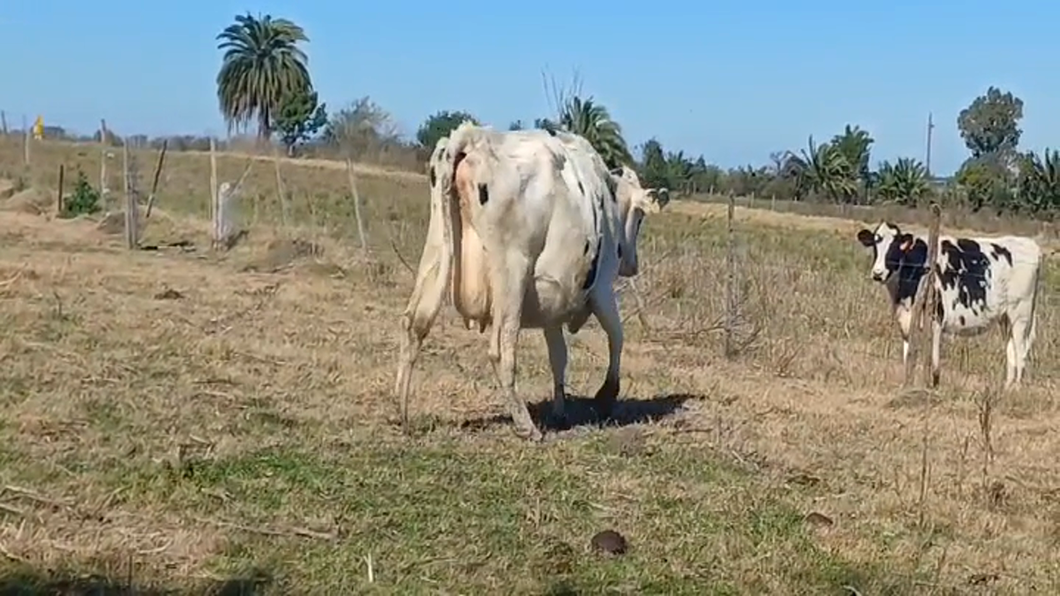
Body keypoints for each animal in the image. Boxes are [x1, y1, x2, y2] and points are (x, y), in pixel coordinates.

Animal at [394, 123, 665, 439]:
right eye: (640, 216)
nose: (632, 264)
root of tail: (475, 136)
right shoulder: (602, 289)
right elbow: (617, 336)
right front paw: (607, 395)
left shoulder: (553, 301)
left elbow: (559, 356)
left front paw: (561, 410)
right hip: (512, 273)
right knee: (500, 349)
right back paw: (525, 424)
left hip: (436, 252)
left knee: (414, 324)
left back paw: (402, 412)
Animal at [852, 220, 1043, 388]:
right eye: (875, 245)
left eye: (895, 247)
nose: (878, 273)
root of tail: (1029, 244)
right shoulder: (906, 320)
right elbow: (908, 355)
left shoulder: (936, 317)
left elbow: (934, 360)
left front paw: (933, 385)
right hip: (1006, 317)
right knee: (1011, 348)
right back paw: (1007, 387)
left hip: (1021, 314)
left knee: (1020, 350)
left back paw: (1016, 389)